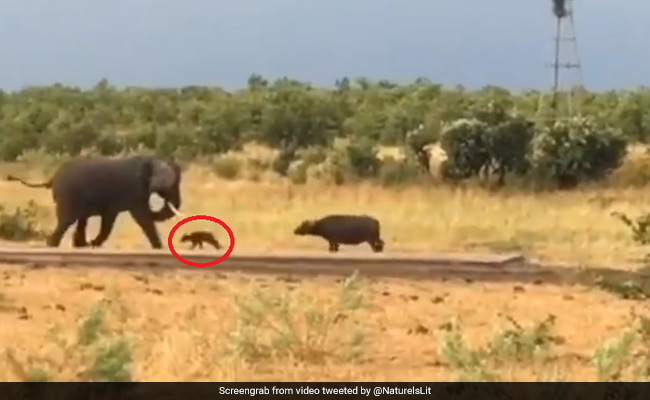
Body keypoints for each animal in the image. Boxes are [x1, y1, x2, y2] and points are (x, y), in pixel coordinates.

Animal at [6, 155, 183, 249]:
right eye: (170, 184)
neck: (151, 159)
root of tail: (53, 178)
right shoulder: (134, 189)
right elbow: (142, 216)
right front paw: (159, 248)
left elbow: (109, 219)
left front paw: (93, 244)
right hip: (69, 195)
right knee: (67, 220)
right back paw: (53, 245)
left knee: (80, 220)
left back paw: (80, 245)